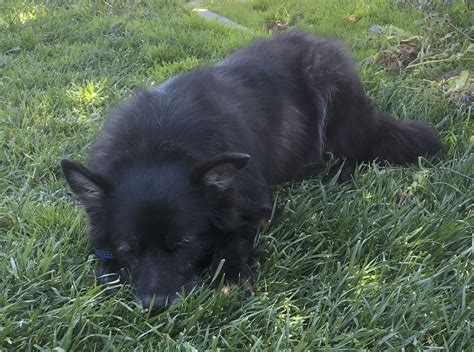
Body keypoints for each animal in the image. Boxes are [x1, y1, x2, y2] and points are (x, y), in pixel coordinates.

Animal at [61, 32, 442, 308]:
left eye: (184, 245)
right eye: (129, 250)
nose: (154, 305)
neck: (159, 140)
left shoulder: (256, 205)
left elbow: (235, 237)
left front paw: (229, 276)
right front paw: (109, 271)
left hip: (335, 102)